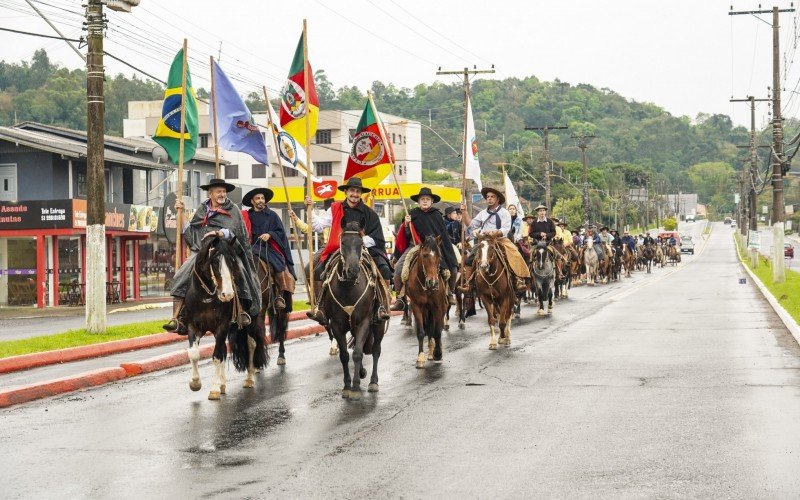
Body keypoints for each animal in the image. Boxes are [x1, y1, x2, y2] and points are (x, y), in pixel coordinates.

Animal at [183, 236, 268, 400]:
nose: (227, 294)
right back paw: (223, 384)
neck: (206, 297)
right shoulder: (193, 326)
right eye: (215, 262)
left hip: (254, 320)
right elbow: (194, 354)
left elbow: (216, 356)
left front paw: (214, 388)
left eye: (233, 262)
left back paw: (249, 378)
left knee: (251, 344)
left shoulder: (222, 326)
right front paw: (195, 383)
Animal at [318, 222, 386, 398]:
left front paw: (355, 387)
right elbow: (344, 355)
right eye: (343, 243)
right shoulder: (336, 325)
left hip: (378, 324)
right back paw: (362, 372)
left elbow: (357, 353)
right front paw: (347, 385)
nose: (353, 270)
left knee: (376, 350)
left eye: (361, 244)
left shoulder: (364, 322)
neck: (348, 288)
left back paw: (373, 381)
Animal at [406, 234, 450, 368]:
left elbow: (437, 331)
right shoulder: (416, 306)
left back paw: (434, 350)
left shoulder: (438, 306)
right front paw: (420, 357)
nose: (433, 282)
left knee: (435, 328)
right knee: (429, 329)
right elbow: (421, 332)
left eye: (439, 256)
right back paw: (430, 351)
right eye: (425, 255)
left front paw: (438, 353)